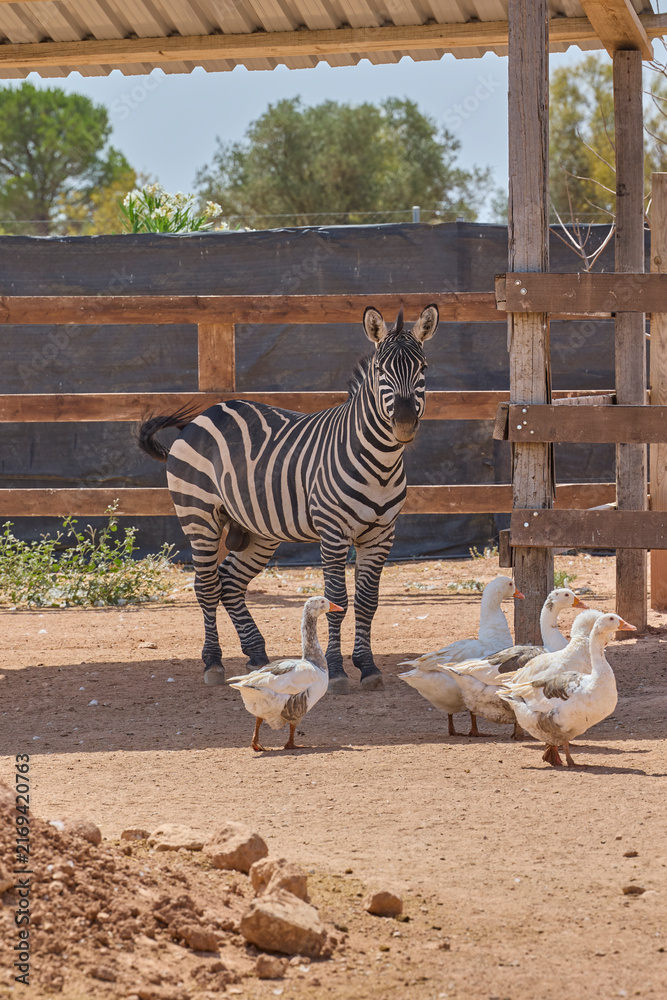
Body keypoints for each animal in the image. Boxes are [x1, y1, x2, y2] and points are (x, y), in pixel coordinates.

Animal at [138, 304, 439, 694]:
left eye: (423, 368)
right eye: (379, 370)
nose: (403, 424)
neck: (381, 461)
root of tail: (207, 413)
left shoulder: (381, 535)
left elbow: (368, 602)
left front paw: (368, 667)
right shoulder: (333, 533)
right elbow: (338, 600)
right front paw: (337, 671)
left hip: (259, 531)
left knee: (230, 581)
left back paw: (256, 654)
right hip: (199, 516)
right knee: (206, 586)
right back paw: (213, 662)